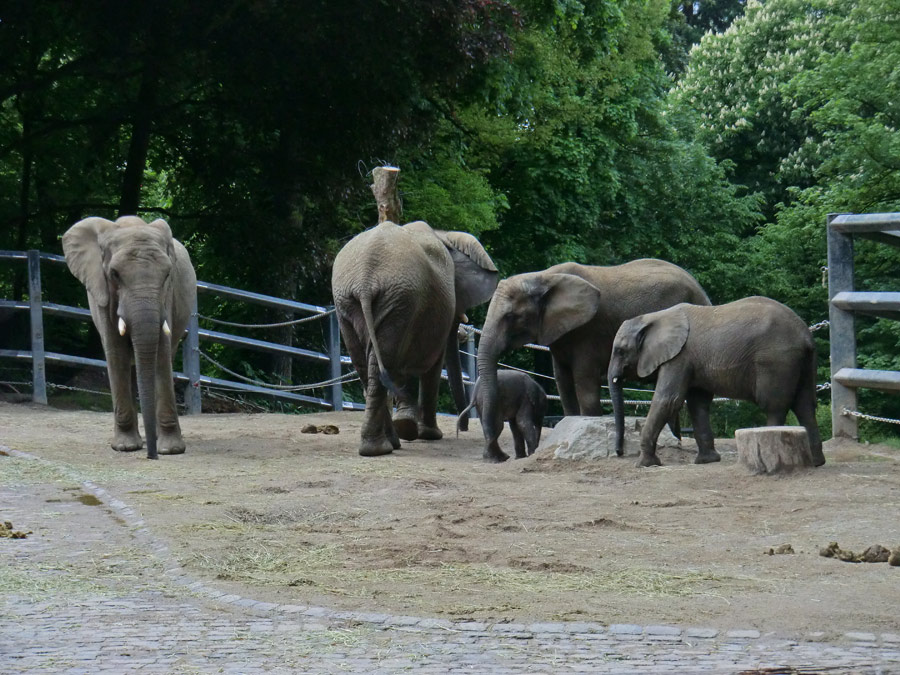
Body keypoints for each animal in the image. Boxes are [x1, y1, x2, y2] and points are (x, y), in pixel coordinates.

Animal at [63, 217, 197, 460]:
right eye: (115, 274)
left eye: (167, 274)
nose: (152, 457)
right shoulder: (102, 291)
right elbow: (115, 353)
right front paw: (125, 447)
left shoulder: (167, 296)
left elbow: (161, 354)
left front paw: (170, 450)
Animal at [332, 222, 500, 460]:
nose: (464, 427)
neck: (444, 235)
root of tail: (365, 278)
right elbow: (434, 365)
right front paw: (429, 435)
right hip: (393, 299)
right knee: (385, 361)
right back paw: (384, 446)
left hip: (358, 303)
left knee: (370, 366)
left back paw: (383, 446)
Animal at [478, 262, 712, 462]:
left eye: (511, 316)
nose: (501, 456)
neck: (543, 277)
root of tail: (703, 292)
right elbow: (562, 382)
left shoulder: (588, 331)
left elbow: (585, 384)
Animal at [608, 298, 828, 468]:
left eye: (620, 351)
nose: (618, 452)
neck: (654, 317)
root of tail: (806, 334)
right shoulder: (692, 360)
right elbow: (697, 403)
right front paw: (707, 461)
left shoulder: (679, 357)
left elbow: (668, 400)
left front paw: (644, 464)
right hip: (803, 361)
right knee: (805, 405)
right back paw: (816, 462)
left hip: (777, 360)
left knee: (775, 405)